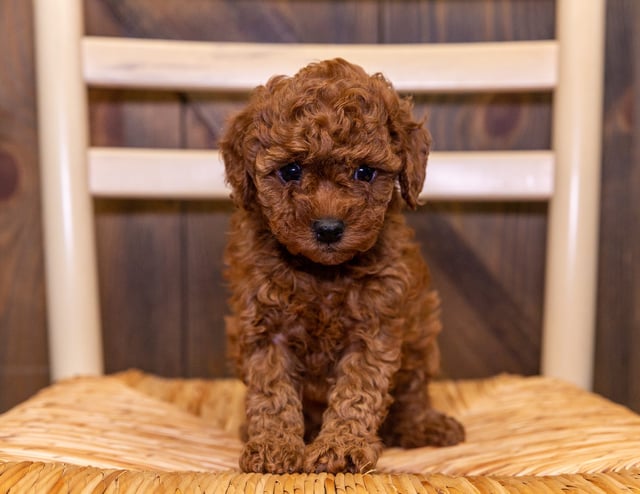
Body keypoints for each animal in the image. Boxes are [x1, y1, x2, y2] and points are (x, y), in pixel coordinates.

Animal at [220, 58, 464, 474]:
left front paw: (342, 447)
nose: (329, 228)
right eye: (291, 170)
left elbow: (358, 391)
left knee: (413, 392)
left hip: (420, 337)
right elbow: (271, 392)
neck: (323, 273)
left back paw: (424, 425)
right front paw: (272, 445)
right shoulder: (265, 327)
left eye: (364, 172)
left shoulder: (373, 327)